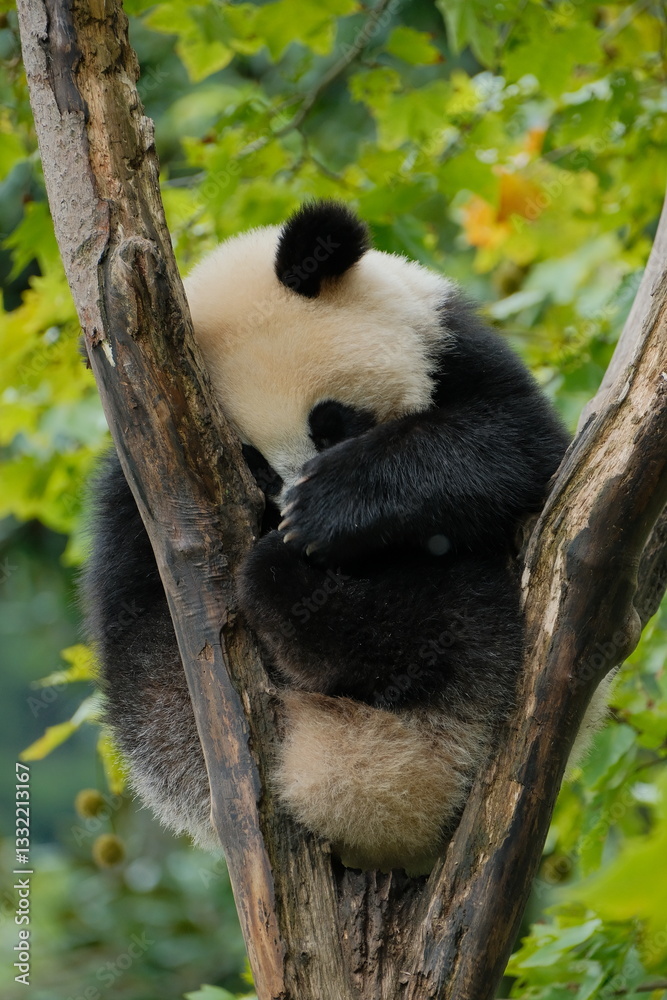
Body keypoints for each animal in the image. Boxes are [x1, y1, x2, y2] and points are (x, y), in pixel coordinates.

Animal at [83, 200, 571, 874]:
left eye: (331, 425)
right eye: (255, 467)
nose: (291, 511)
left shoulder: (450, 343)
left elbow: (513, 442)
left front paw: (326, 510)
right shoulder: (141, 488)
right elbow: (145, 656)